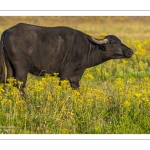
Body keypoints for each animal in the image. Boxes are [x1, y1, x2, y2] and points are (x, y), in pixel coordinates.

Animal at [0, 23, 134, 94]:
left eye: (119, 41)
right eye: (113, 42)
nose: (130, 51)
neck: (87, 47)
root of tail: (7, 32)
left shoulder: (76, 75)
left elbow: (76, 88)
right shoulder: (66, 72)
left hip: (10, 66)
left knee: (9, 82)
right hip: (21, 67)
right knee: (20, 84)